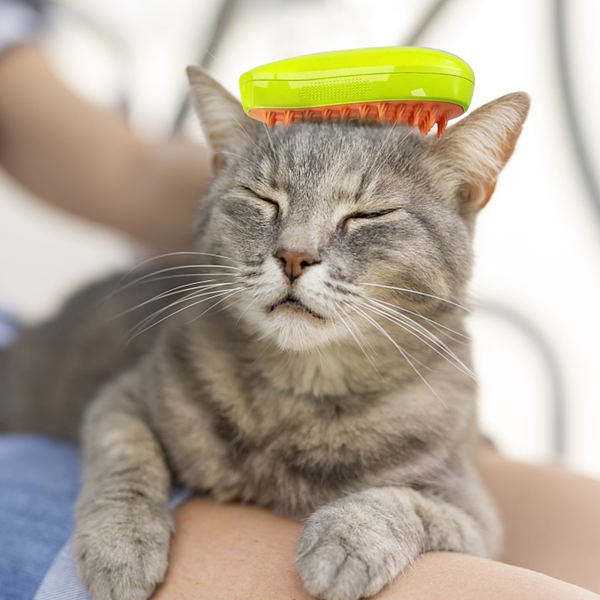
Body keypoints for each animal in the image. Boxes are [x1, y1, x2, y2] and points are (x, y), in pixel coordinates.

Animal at [0, 65, 528, 600]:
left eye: (368, 214)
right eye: (264, 200)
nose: (294, 256)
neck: (297, 394)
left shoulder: (472, 513)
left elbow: (401, 503)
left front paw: (347, 540)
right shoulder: (122, 398)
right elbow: (125, 458)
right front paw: (121, 542)